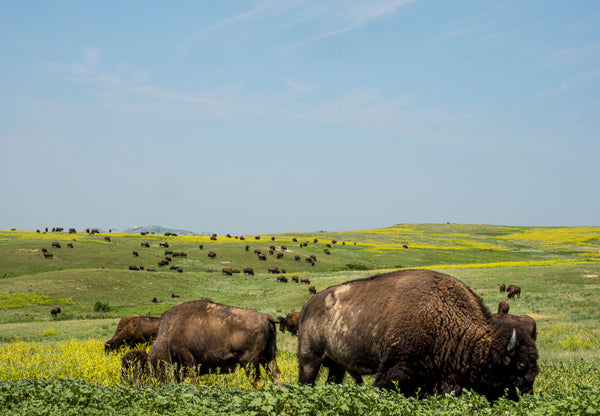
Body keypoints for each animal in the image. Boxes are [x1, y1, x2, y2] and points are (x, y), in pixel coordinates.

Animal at [120, 300, 284, 386]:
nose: (129, 383)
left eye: (137, 370)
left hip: (249, 362)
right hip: (268, 358)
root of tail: (266, 317)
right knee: (276, 377)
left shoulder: (189, 360)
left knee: (259, 381)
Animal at [296, 268, 540, 402]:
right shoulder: (395, 369)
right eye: (519, 366)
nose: (528, 395)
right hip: (310, 359)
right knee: (305, 382)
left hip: (336, 365)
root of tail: (308, 305)